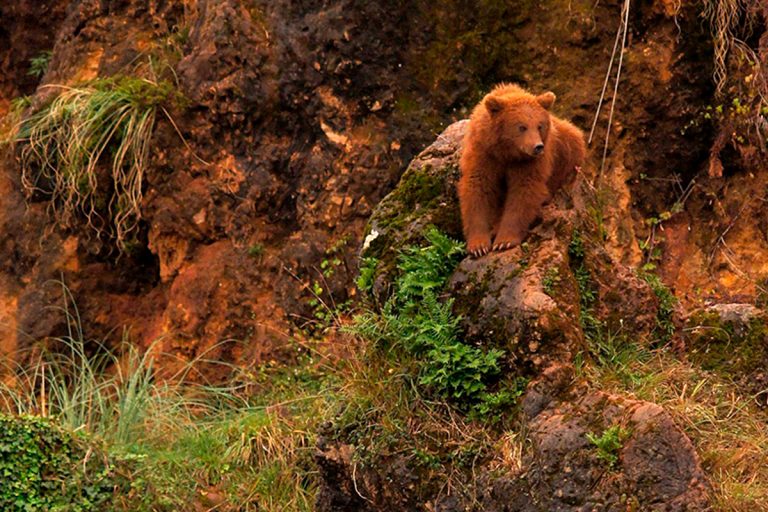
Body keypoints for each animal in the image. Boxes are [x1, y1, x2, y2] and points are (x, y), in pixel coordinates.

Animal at [460, 85, 584, 258]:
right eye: (521, 126)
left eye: (540, 125)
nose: (538, 147)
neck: (506, 153)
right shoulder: (484, 153)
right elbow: (478, 188)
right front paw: (479, 245)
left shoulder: (528, 163)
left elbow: (523, 192)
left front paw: (504, 241)